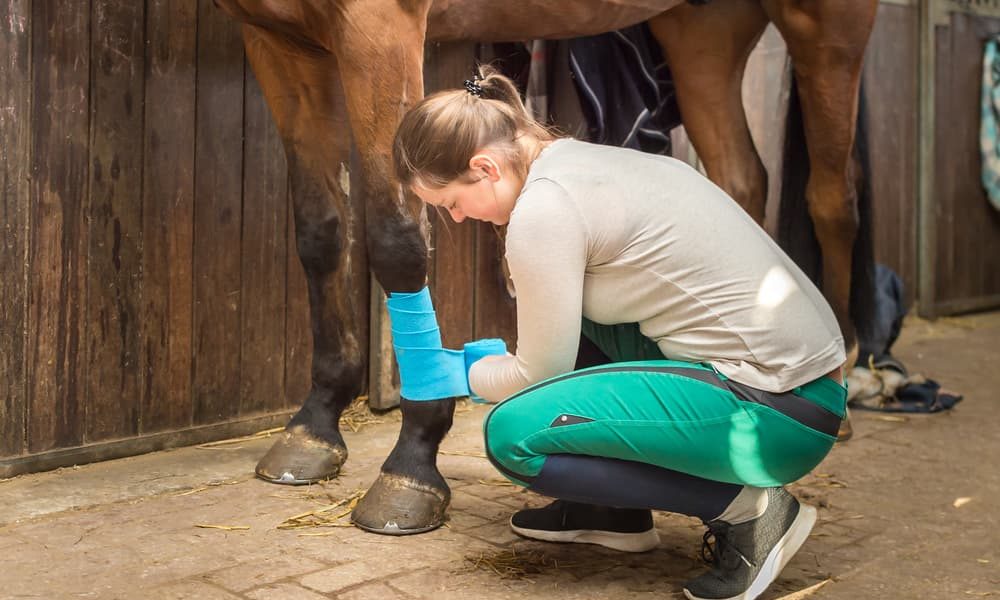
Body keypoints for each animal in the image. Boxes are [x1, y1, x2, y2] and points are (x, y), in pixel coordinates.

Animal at [215, 0, 880, 536]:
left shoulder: (378, 27)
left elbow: (398, 243)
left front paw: (412, 464)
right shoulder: (279, 39)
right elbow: (321, 230)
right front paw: (315, 425)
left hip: (824, 26)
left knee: (833, 195)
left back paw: (848, 373)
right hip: (701, 34)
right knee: (742, 176)